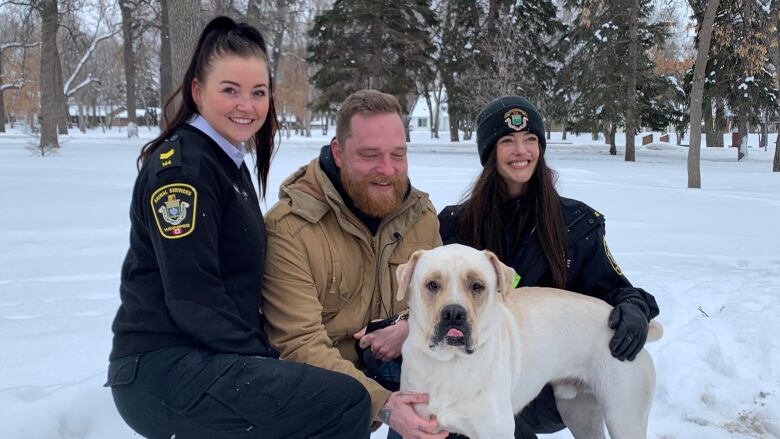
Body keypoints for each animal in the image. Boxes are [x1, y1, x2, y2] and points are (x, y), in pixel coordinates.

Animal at [400, 244, 660, 439]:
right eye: (432, 284)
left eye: (477, 286)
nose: (454, 313)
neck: (450, 364)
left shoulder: (496, 431)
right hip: (579, 413)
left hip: (623, 417)